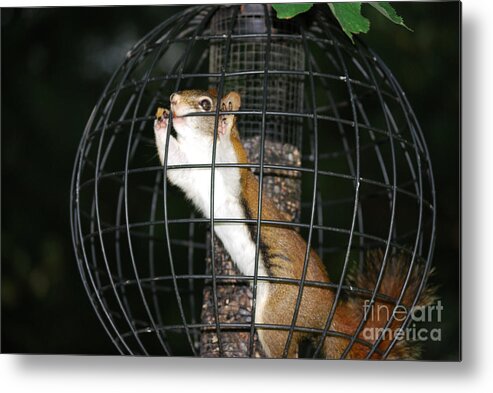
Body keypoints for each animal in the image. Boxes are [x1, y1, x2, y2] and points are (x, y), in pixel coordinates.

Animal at [154, 89, 434, 358]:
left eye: (205, 104)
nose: (173, 99)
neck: (202, 158)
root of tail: (327, 315)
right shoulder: (189, 175)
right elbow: (173, 166)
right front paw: (162, 120)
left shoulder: (233, 171)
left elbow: (226, 152)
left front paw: (222, 127)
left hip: (278, 315)